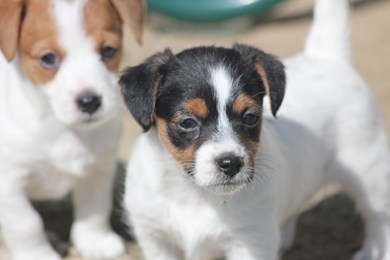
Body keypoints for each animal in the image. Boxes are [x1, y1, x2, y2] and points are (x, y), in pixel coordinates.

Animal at [0, 0, 143, 260]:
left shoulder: (99, 168)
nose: (89, 101)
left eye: (109, 50)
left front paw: (95, 241)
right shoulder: (9, 182)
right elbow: (26, 223)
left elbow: (95, 208)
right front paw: (37, 254)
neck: (60, 126)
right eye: (48, 58)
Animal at [119, 0, 390, 260]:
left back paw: (375, 251)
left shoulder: (250, 239)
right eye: (187, 122)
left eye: (250, 117)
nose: (231, 163)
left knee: (378, 216)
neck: (195, 194)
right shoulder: (154, 236)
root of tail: (326, 58)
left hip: (370, 170)